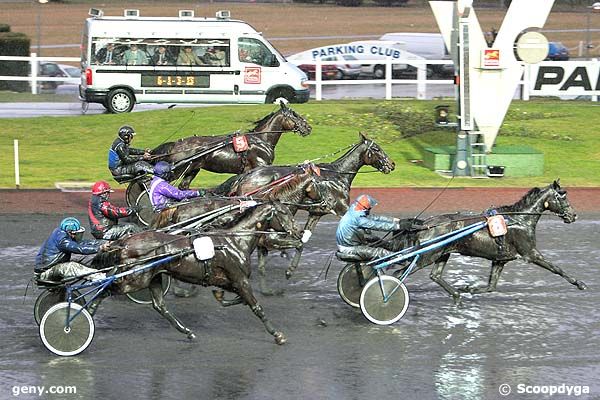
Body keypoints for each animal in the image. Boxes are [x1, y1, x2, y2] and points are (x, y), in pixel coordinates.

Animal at [92, 202, 304, 346]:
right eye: (285, 213)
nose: (299, 231)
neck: (235, 241)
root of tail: (124, 242)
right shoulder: (240, 279)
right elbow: (256, 307)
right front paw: (277, 334)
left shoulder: (228, 281)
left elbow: (230, 299)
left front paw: (221, 297)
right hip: (135, 279)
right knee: (106, 289)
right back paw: (89, 313)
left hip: (154, 277)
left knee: (160, 306)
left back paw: (188, 332)